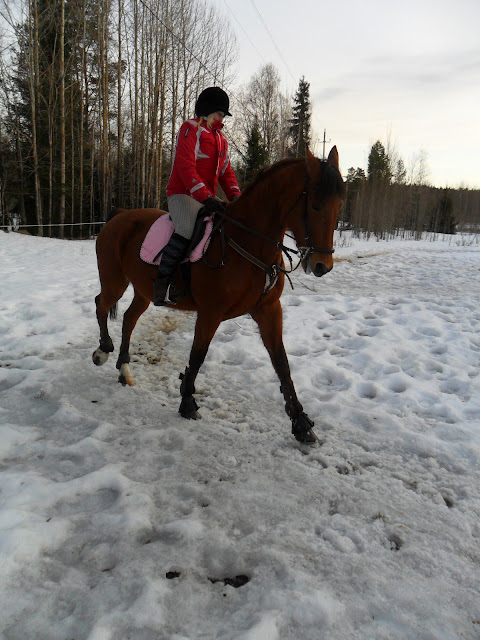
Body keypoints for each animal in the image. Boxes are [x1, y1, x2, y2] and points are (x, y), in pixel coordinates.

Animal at [92, 147, 345, 444]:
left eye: (339, 205)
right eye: (315, 205)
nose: (322, 266)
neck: (249, 243)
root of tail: (119, 215)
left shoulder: (269, 310)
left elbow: (282, 363)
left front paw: (301, 423)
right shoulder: (210, 312)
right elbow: (197, 355)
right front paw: (187, 403)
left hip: (143, 290)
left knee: (129, 319)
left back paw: (124, 370)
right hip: (115, 281)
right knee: (101, 304)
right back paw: (103, 351)